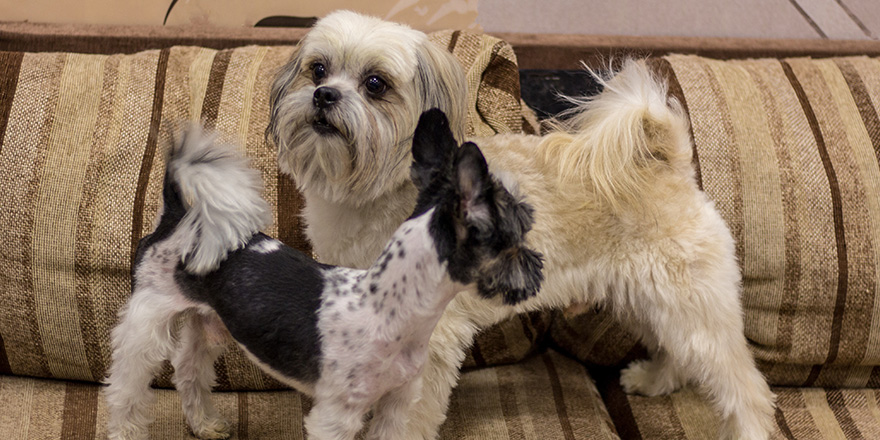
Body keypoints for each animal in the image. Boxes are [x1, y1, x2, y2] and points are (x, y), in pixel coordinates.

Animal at [103, 110, 544, 440]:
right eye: (519, 233)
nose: (537, 265)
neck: (389, 310)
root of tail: (177, 218)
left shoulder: (397, 403)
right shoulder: (337, 415)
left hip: (206, 321)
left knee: (189, 371)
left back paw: (205, 424)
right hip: (146, 323)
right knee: (125, 390)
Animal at [270, 10, 776, 440]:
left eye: (375, 83)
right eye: (318, 69)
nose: (324, 95)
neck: (377, 195)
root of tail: (669, 163)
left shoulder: (431, 344)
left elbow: (402, 420)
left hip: (692, 315)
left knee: (747, 392)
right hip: (648, 305)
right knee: (676, 357)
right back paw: (653, 380)